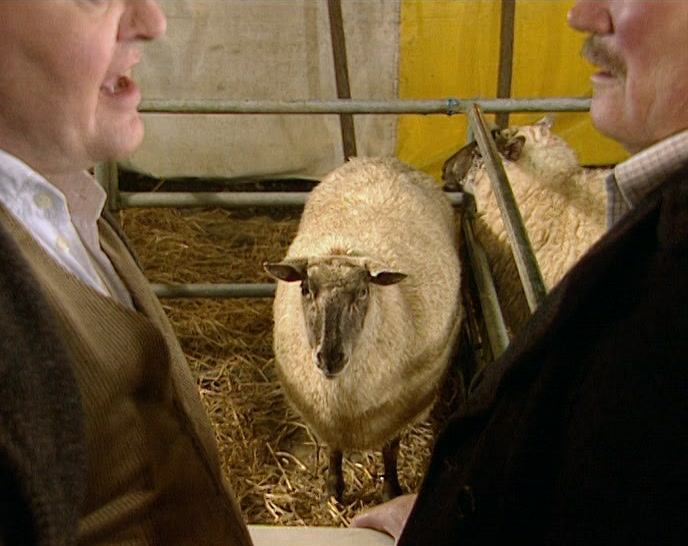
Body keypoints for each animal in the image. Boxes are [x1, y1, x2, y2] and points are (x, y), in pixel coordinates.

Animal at [264, 156, 463, 503]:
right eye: (305, 288)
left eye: (363, 292)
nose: (329, 358)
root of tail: (381, 158)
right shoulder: (326, 418)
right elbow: (333, 450)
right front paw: (333, 489)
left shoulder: (400, 409)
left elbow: (390, 451)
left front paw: (391, 490)